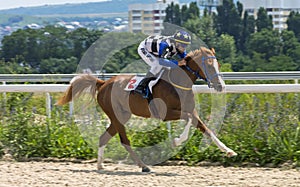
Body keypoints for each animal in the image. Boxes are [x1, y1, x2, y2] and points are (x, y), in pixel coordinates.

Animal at [56, 47, 237, 172]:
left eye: (218, 65)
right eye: (209, 66)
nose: (221, 86)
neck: (179, 83)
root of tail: (103, 83)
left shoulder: (191, 111)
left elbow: (205, 128)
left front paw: (228, 151)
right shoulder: (166, 114)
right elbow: (189, 120)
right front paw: (176, 141)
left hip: (122, 116)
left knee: (103, 138)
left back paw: (100, 166)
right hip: (116, 116)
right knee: (124, 141)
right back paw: (143, 166)